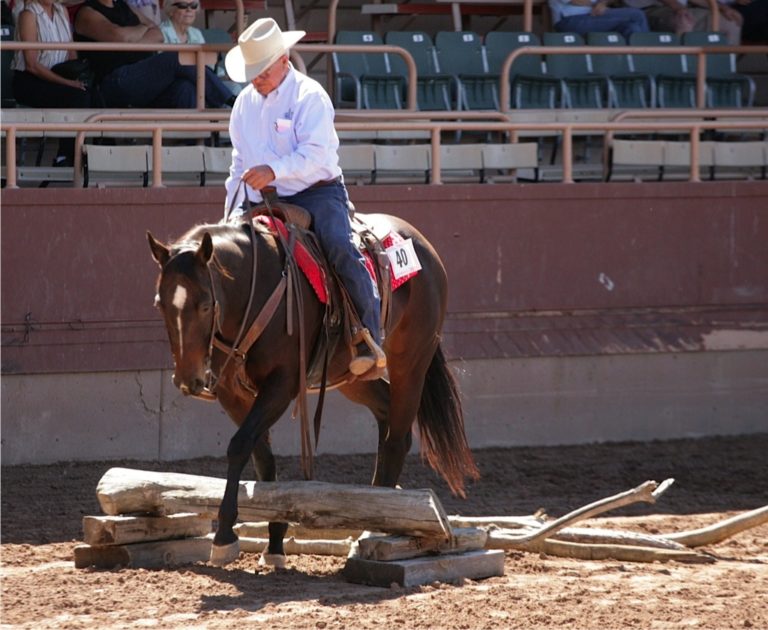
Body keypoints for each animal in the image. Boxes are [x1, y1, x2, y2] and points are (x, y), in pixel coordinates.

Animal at [147, 211, 479, 567]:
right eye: (160, 304)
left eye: (206, 304)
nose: (189, 379)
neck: (256, 290)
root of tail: (422, 245)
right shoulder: (231, 393)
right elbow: (261, 455)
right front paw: (274, 542)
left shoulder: (282, 384)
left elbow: (239, 446)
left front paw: (224, 536)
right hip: (352, 376)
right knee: (386, 414)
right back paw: (377, 503)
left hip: (411, 361)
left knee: (396, 437)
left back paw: (377, 529)